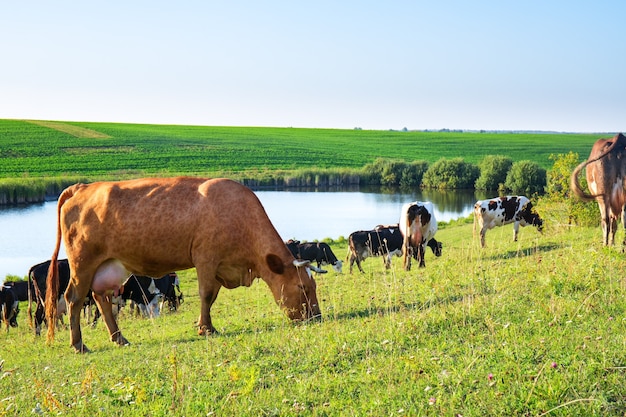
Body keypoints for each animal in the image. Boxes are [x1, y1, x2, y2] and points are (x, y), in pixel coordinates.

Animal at [44, 176, 320, 352]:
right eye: (302, 287)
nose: (316, 317)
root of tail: (82, 187)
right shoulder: (205, 257)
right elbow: (206, 294)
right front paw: (206, 329)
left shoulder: (220, 266)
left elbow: (213, 296)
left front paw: (202, 325)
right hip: (82, 263)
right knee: (74, 298)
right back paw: (79, 345)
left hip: (110, 266)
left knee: (101, 297)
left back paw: (119, 338)